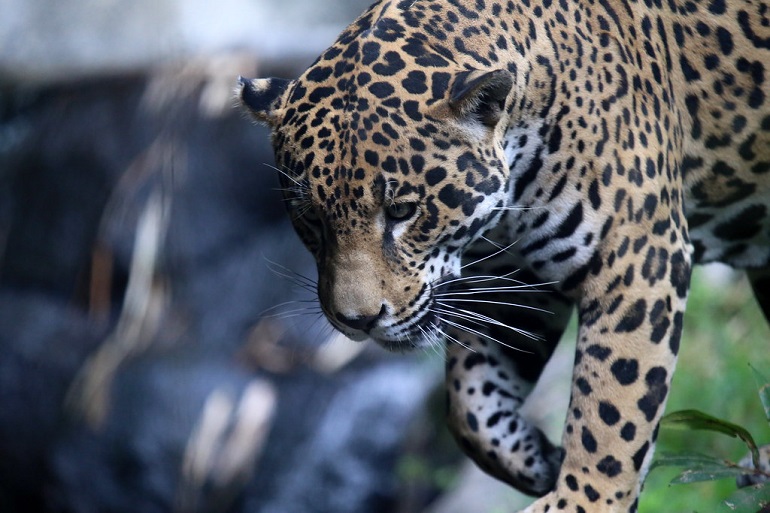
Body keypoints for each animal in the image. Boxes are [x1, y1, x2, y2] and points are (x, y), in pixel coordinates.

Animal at [237, 0, 770, 511]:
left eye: (402, 210)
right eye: (311, 218)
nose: (359, 321)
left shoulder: (638, 258)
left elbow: (612, 405)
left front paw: (583, 498)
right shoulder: (512, 277)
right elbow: (468, 404)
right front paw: (537, 459)